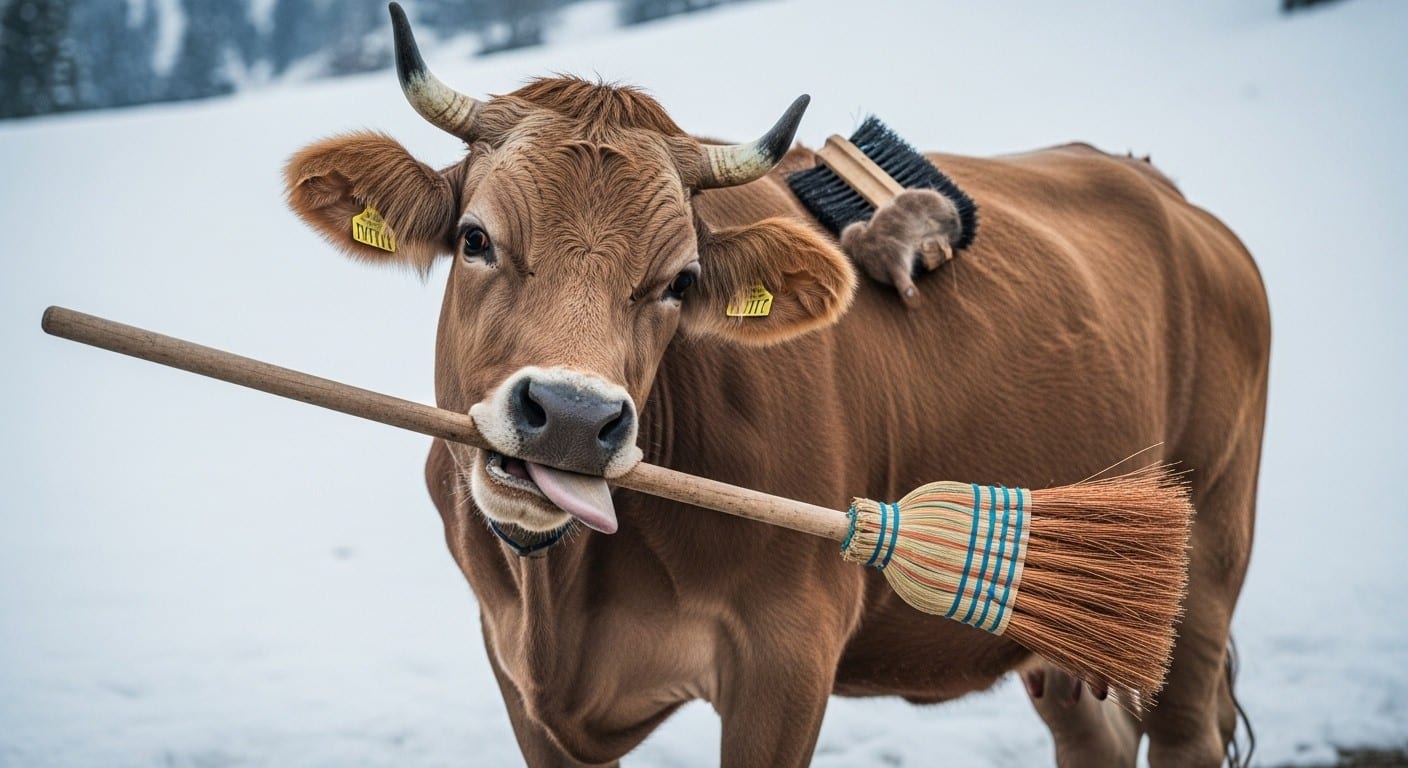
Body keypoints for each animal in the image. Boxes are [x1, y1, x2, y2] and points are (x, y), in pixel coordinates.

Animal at [283, 6, 1268, 766]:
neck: (562, 595)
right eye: (476, 238)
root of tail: (1168, 196)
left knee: (1186, 730)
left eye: (679, 280)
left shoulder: (786, 657)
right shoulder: (516, 672)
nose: (569, 417)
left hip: (1206, 559)